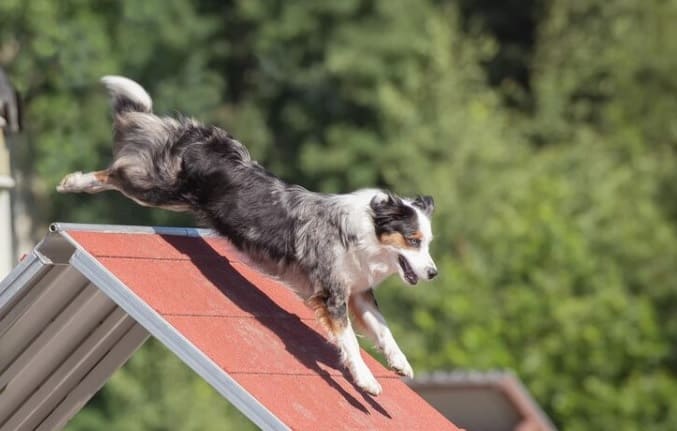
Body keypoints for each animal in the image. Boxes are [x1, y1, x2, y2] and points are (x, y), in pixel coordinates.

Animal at [58, 77, 438, 394]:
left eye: (428, 243)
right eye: (413, 240)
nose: (434, 273)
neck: (365, 233)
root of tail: (203, 137)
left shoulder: (358, 292)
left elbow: (384, 330)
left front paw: (400, 363)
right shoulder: (331, 295)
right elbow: (351, 342)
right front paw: (367, 381)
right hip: (158, 189)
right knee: (116, 171)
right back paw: (73, 181)